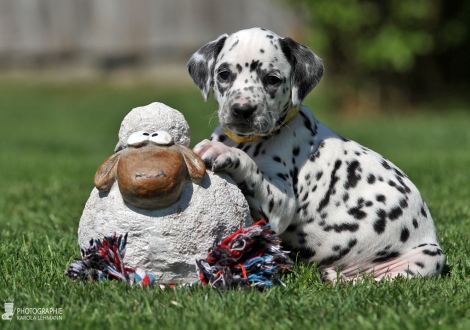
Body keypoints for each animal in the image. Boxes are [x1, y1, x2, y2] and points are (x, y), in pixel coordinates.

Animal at [187, 27, 444, 282]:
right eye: (224, 74)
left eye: (272, 79)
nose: (242, 110)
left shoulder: (279, 205)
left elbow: (250, 166)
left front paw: (222, 151)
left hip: (428, 257)